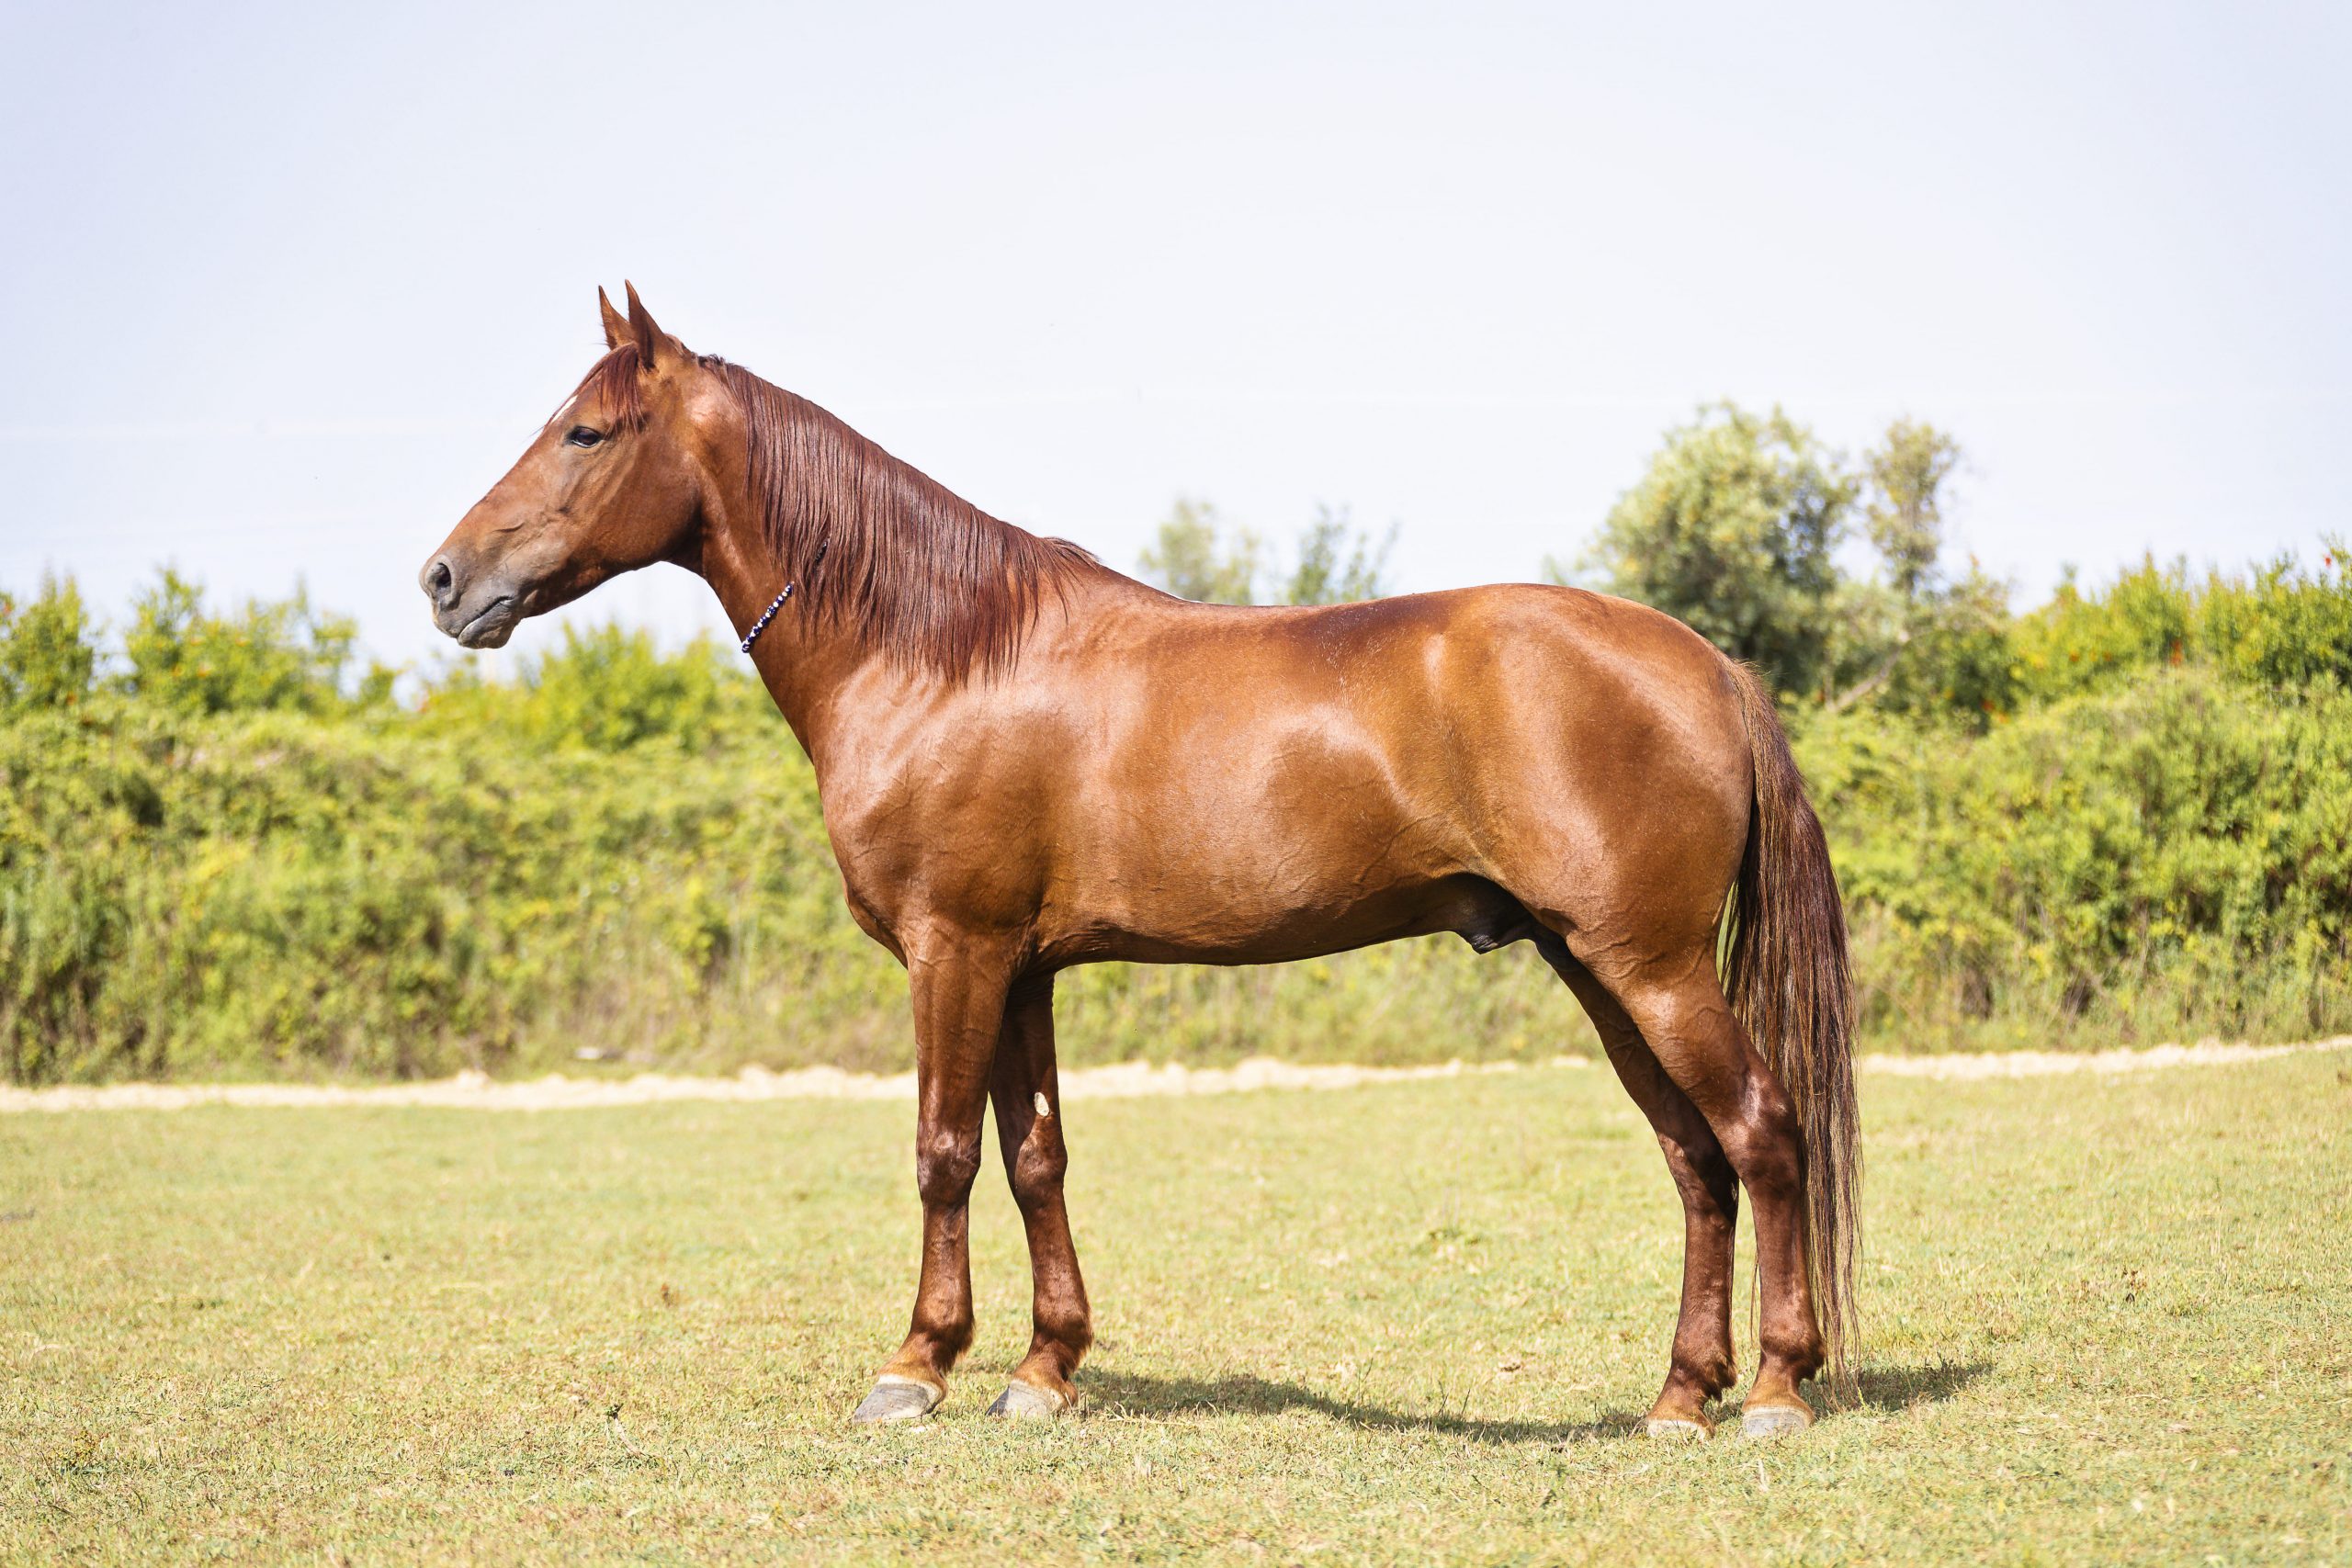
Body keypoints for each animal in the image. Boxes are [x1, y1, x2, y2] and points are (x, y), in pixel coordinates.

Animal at [418, 282, 1853, 1438]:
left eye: (586, 433)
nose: (442, 579)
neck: (940, 653)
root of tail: (1704, 660)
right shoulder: (1022, 967)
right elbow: (1034, 1156)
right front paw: (1042, 1370)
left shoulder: (954, 950)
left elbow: (943, 1150)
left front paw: (916, 1367)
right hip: (1596, 967)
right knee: (1695, 1161)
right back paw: (1678, 1395)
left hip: (1650, 965)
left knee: (1760, 1131)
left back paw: (1777, 1388)